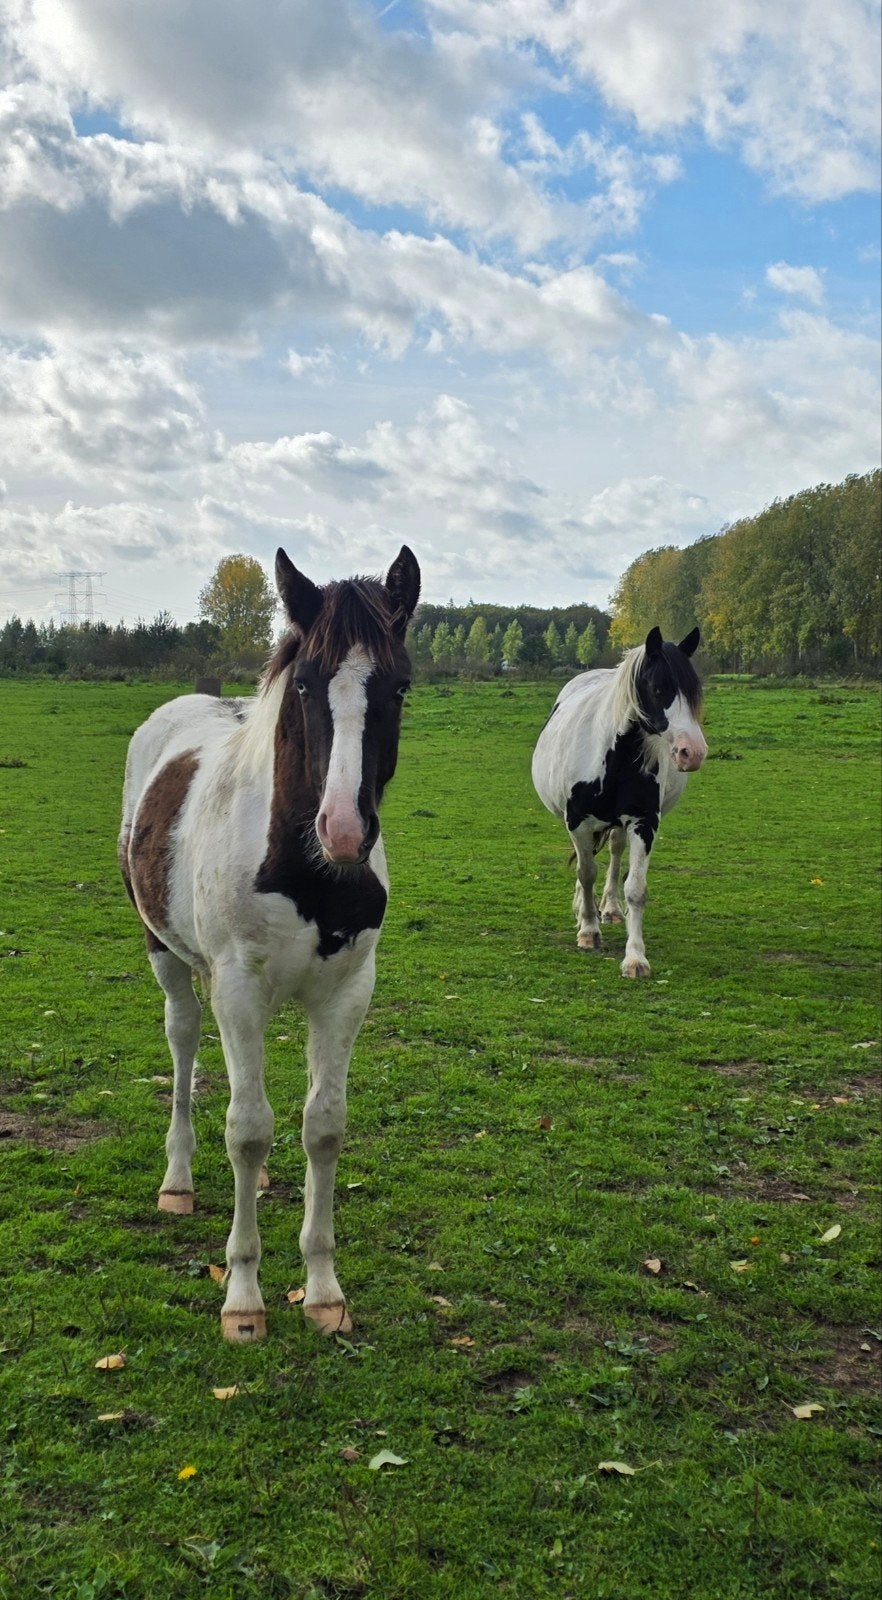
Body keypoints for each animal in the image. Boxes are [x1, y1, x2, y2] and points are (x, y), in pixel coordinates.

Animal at [118, 545, 420, 1342]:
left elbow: (323, 1129)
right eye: (307, 682)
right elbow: (249, 1131)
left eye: (399, 685)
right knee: (184, 1042)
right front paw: (244, 1297)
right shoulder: (239, 991)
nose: (343, 830)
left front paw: (322, 1288)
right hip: (169, 956)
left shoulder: (347, 995)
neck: (302, 869)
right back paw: (179, 1180)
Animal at [531, 627, 707, 978]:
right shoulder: (578, 821)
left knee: (614, 853)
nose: (692, 752)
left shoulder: (643, 822)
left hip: (619, 825)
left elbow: (635, 888)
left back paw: (610, 908)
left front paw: (635, 957)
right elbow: (586, 873)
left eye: (695, 691)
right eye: (658, 687)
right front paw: (588, 930)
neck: (612, 754)